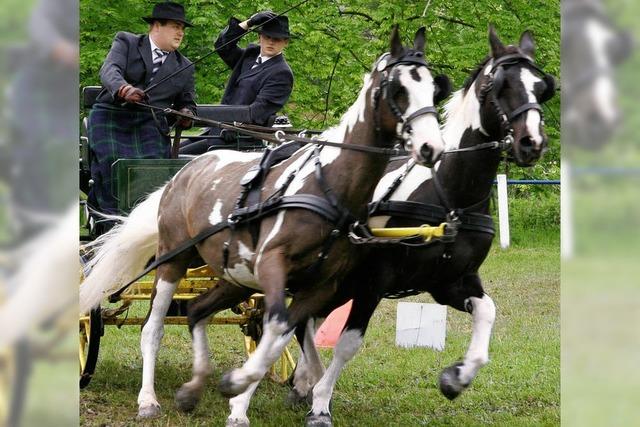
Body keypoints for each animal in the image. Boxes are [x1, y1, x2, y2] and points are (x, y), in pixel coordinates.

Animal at [77, 26, 452, 422]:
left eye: (434, 89)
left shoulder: (318, 285)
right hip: (173, 258)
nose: (431, 147)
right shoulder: (273, 264)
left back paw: (196, 388)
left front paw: (291, 391)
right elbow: (279, 328)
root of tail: (181, 173)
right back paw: (148, 400)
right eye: (398, 89)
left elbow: (281, 332)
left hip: (229, 273)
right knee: (153, 328)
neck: (328, 185)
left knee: (198, 311)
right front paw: (249, 396)